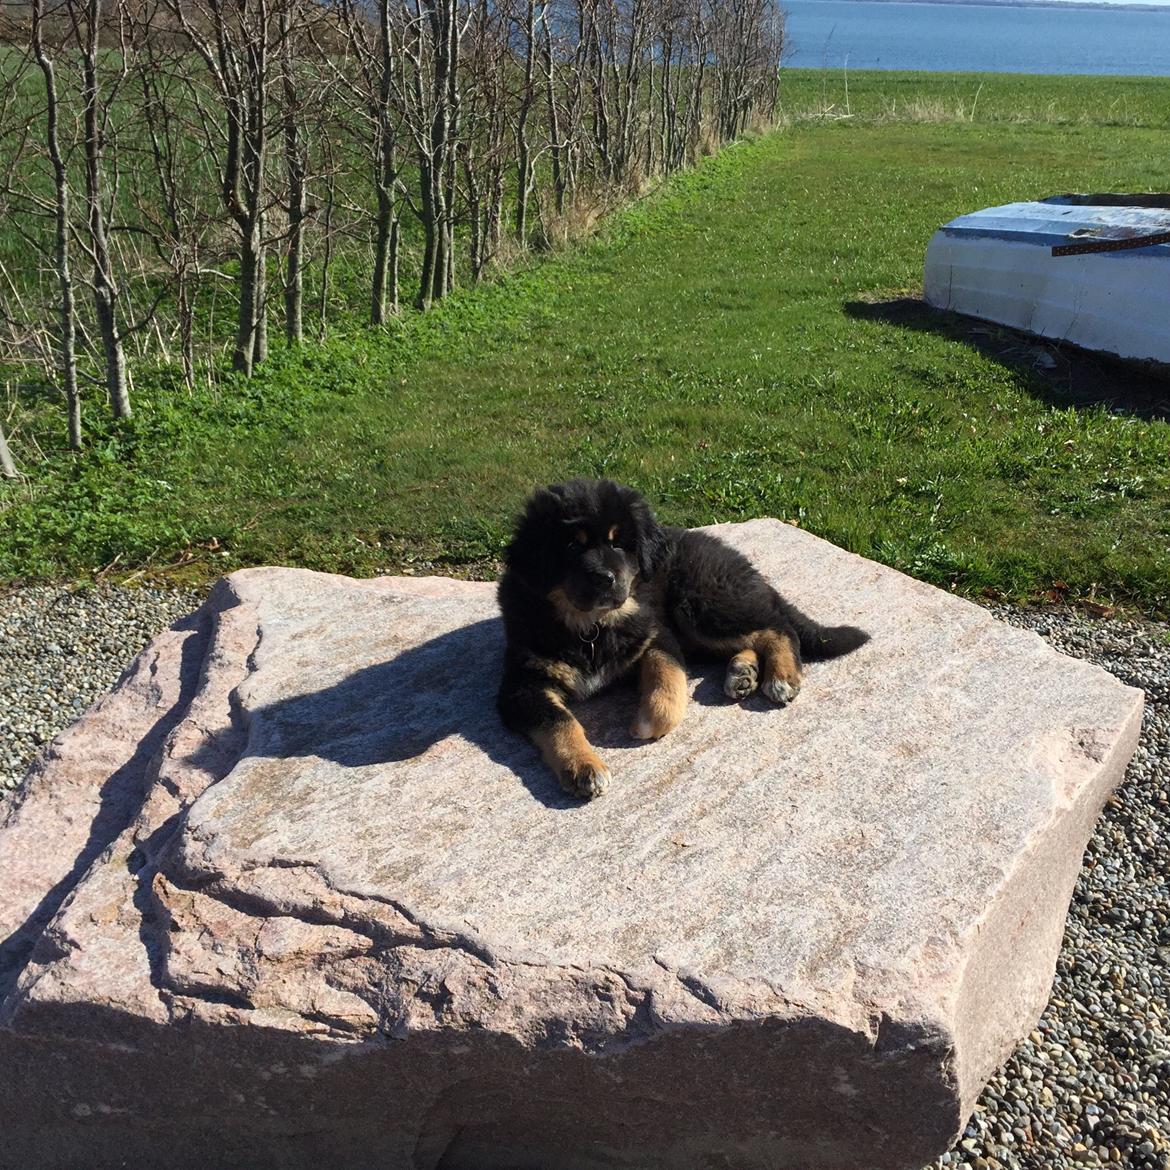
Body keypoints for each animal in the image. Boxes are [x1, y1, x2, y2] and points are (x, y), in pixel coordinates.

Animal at [493, 479, 870, 800]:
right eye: (572, 546)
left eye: (618, 543)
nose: (605, 579)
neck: (591, 626)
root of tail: (739, 561)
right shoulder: (524, 684)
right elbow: (558, 721)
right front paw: (584, 766)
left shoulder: (657, 635)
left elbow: (668, 678)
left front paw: (648, 721)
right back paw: (743, 673)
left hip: (699, 606)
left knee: (777, 627)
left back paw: (781, 676)